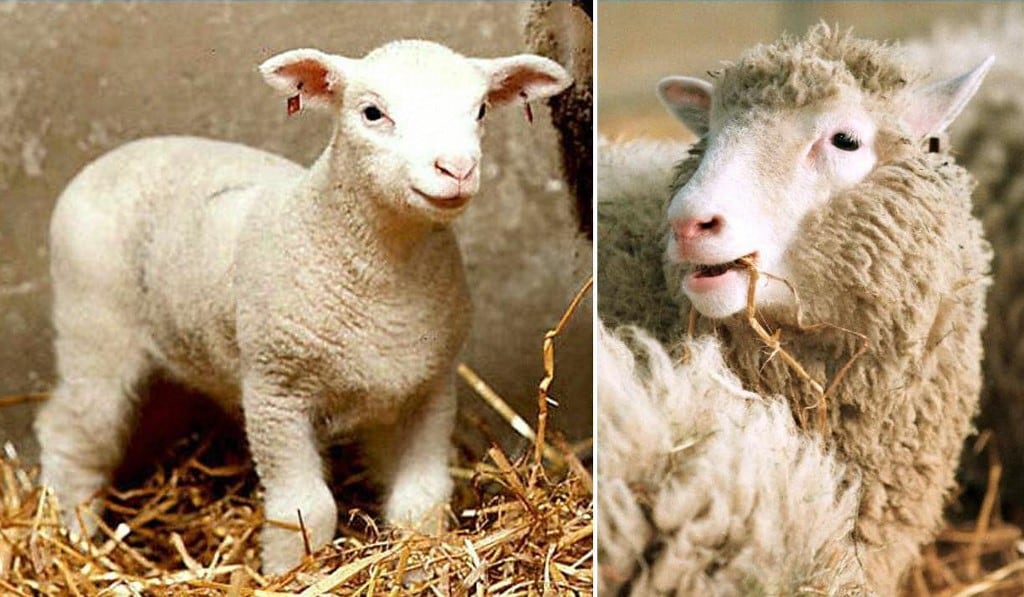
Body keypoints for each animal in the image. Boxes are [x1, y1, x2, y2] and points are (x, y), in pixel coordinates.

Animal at [34, 39, 571, 574]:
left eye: (479, 110)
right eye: (372, 113)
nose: (456, 169)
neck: (384, 278)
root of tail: (114, 156)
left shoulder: (429, 390)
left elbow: (420, 501)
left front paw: (421, 565)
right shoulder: (276, 393)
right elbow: (305, 509)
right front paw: (291, 572)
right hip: (93, 331)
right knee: (70, 434)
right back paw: (76, 541)